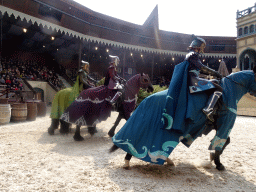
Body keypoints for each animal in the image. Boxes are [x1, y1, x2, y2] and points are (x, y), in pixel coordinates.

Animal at [109, 65, 256, 171]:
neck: (230, 91)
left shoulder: (217, 125)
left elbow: (226, 142)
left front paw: (213, 158)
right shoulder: (224, 124)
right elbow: (221, 143)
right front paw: (217, 162)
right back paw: (127, 162)